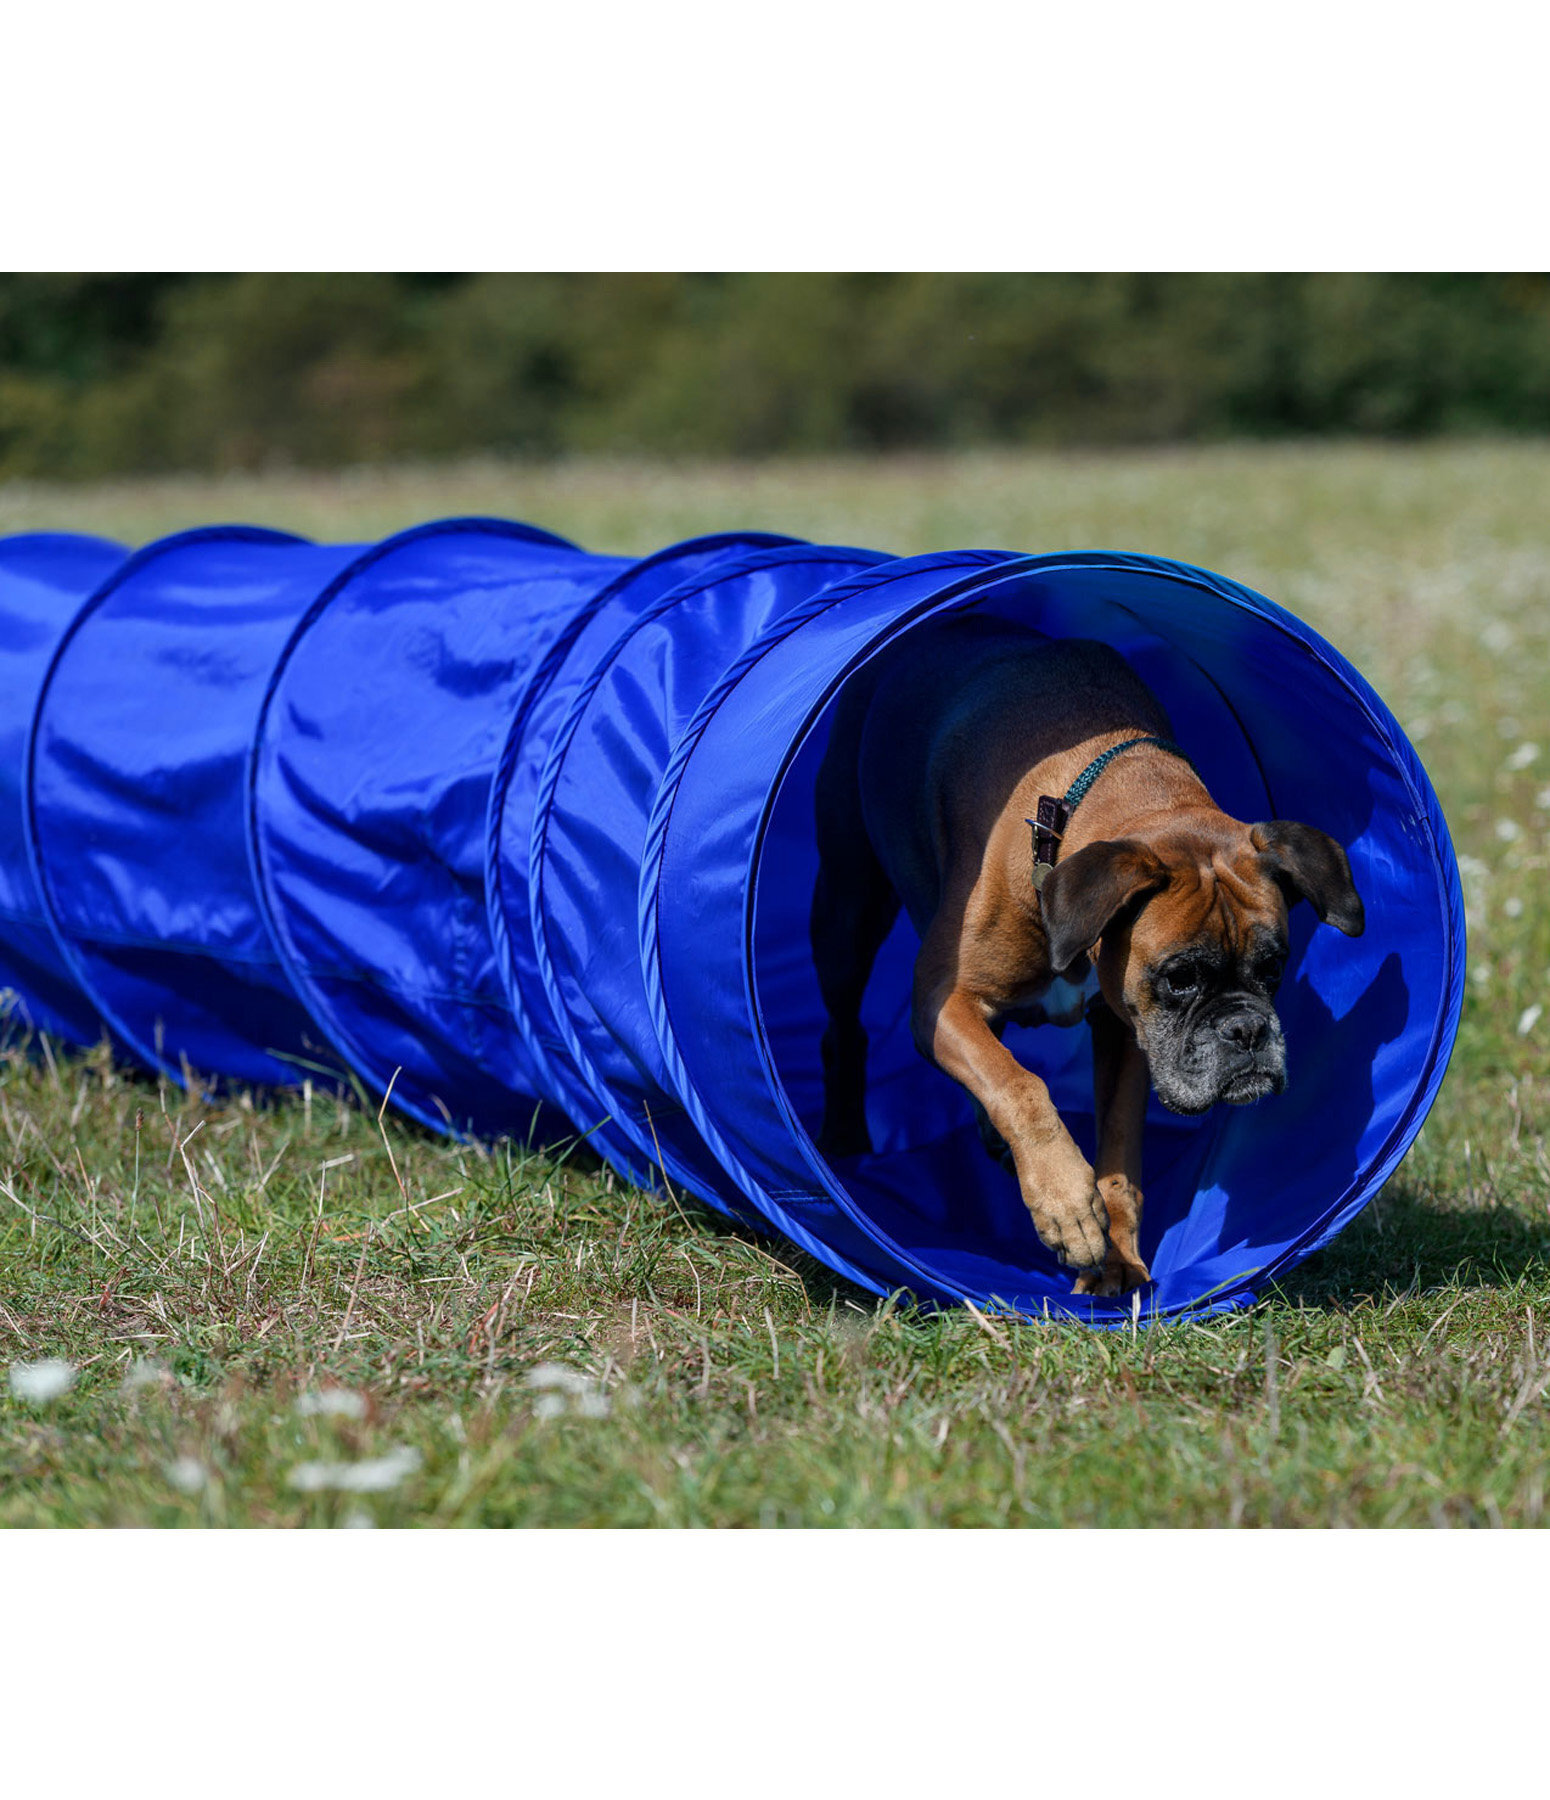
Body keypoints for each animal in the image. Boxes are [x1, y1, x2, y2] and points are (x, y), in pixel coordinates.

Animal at [802, 619, 1360, 1296]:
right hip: (846, 912)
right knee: (846, 1029)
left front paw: (1115, 1254)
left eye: (1274, 970)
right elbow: (1020, 1083)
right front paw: (1067, 1205)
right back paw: (843, 1137)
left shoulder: (1127, 1035)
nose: (1248, 1031)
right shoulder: (943, 1002)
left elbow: (1117, 1152)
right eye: (1180, 978)